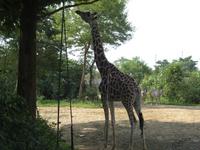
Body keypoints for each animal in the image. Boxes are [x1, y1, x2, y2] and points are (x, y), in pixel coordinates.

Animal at [75, 10, 147, 150]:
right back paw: (145, 147)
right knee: (141, 120)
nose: (77, 11)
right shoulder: (111, 99)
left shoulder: (103, 96)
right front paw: (113, 145)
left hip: (126, 101)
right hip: (137, 101)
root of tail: (136, 88)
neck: (102, 68)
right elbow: (113, 121)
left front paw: (105, 145)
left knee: (133, 121)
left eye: (87, 13)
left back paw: (130, 146)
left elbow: (106, 120)